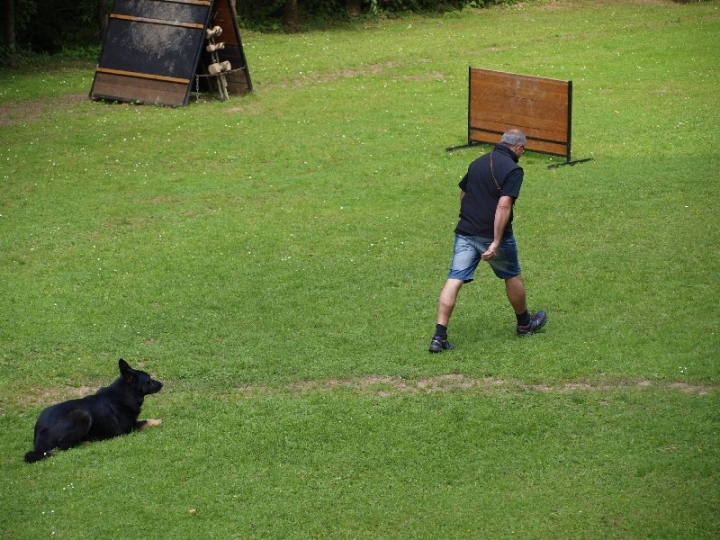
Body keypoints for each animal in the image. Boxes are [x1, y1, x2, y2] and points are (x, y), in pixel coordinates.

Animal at [24, 358, 163, 464]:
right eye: (149, 379)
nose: (162, 384)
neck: (124, 393)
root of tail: (40, 435)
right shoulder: (128, 429)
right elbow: (144, 422)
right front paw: (157, 421)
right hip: (82, 415)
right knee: (64, 446)